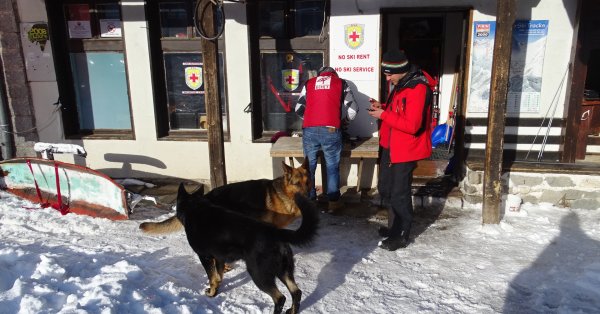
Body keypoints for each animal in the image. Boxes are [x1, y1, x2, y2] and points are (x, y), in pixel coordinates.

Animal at [141, 183, 318, 314]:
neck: (195, 208)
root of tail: (275, 231)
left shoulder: (205, 256)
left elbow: (212, 278)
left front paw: (211, 293)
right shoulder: (219, 257)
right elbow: (218, 276)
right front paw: (217, 289)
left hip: (259, 274)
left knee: (280, 298)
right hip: (284, 271)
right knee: (296, 292)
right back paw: (293, 311)